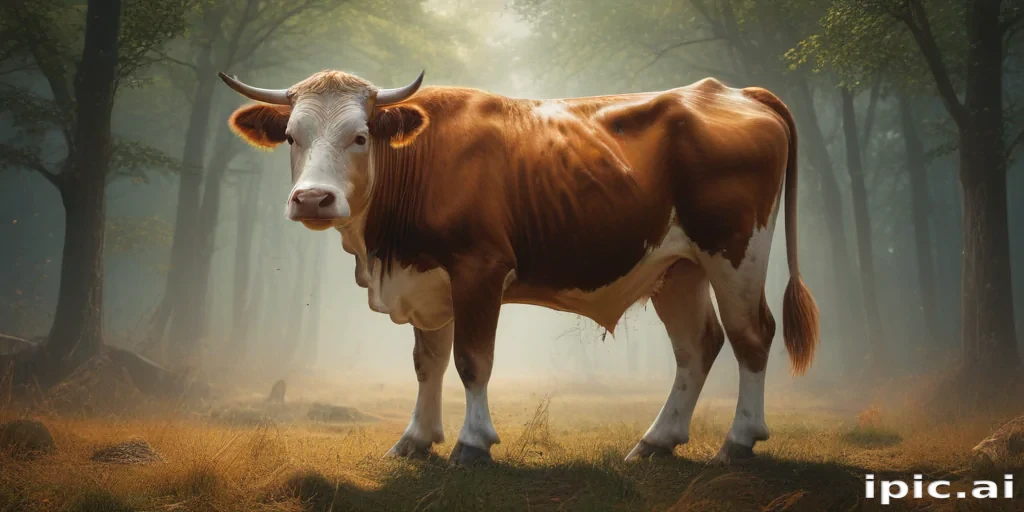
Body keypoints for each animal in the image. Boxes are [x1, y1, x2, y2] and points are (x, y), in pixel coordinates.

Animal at [218, 69, 819, 466]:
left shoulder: (480, 269)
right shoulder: (426, 280)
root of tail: (733, 91)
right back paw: (656, 441)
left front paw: (472, 444)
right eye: (291, 136)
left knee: (751, 335)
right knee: (698, 345)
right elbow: (428, 363)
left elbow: (472, 362)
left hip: (736, 251)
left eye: (360, 136)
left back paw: (738, 442)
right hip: (677, 266)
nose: (312, 199)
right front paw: (416, 439)